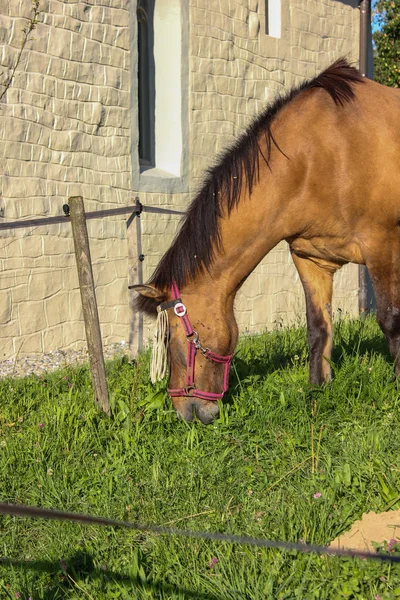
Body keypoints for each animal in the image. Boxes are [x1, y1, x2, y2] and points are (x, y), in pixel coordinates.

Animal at [133, 61, 400, 424]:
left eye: (172, 338)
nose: (186, 412)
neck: (324, 153)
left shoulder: (381, 245)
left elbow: (390, 320)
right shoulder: (310, 258)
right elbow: (318, 328)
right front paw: (318, 388)